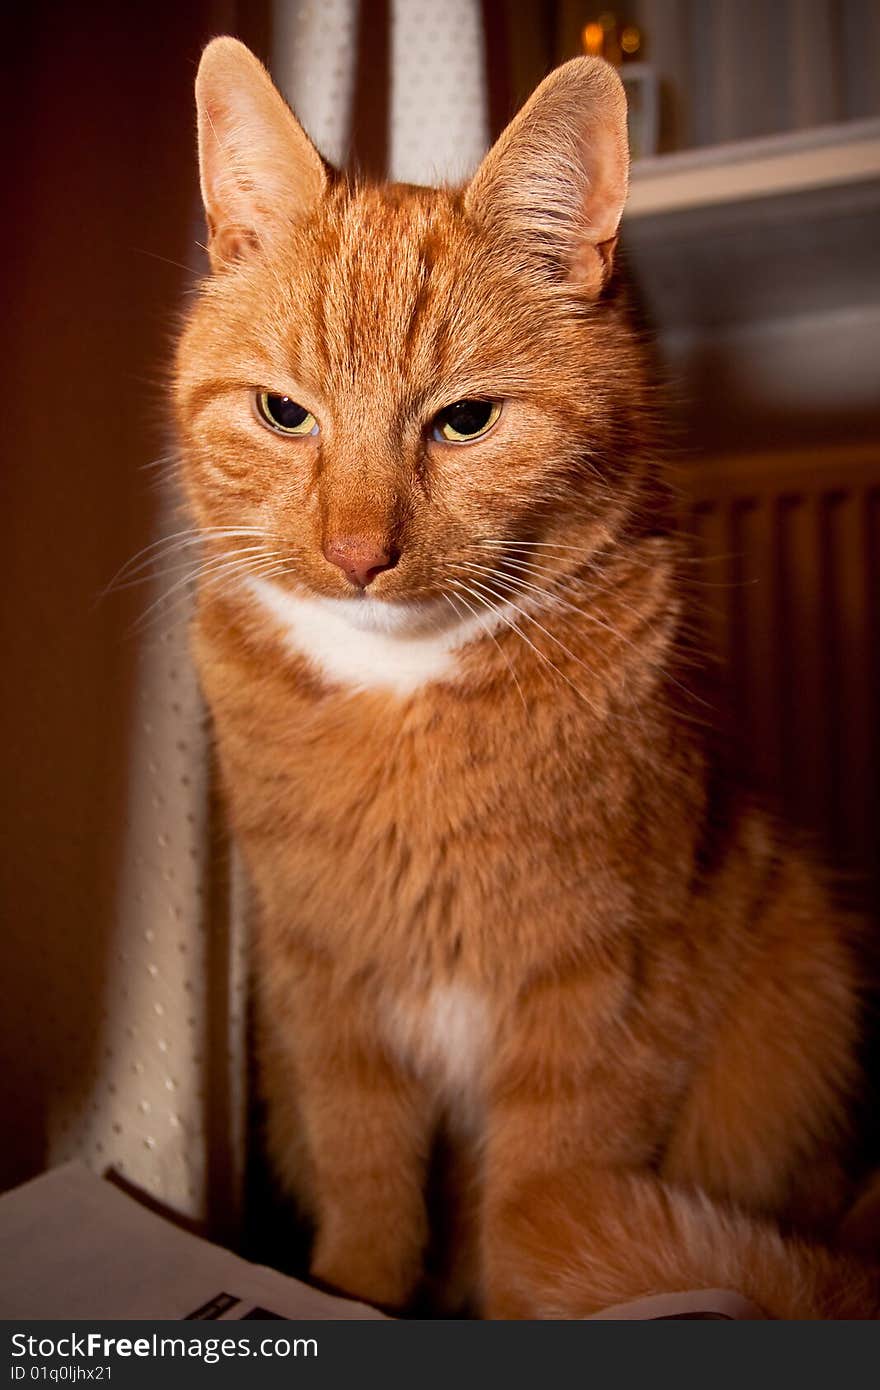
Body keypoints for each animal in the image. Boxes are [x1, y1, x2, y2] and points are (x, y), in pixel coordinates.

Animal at [173, 38, 878, 1317]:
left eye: (465, 422)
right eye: (284, 413)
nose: (357, 553)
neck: (402, 702)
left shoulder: (602, 988)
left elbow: (539, 1196)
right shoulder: (324, 985)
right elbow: (366, 1178)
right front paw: (353, 1290)